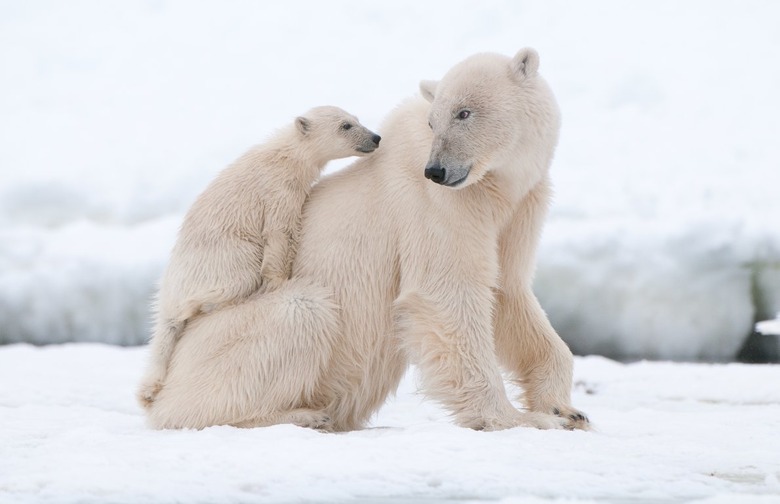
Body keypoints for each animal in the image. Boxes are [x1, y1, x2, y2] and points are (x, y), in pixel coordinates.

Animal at [137, 106, 381, 409]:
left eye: (357, 119)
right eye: (345, 125)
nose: (375, 137)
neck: (286, 155)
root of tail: (169, 292)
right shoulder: (278, 190)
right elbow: (279, 232)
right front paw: (279, 281)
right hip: (223, 258)